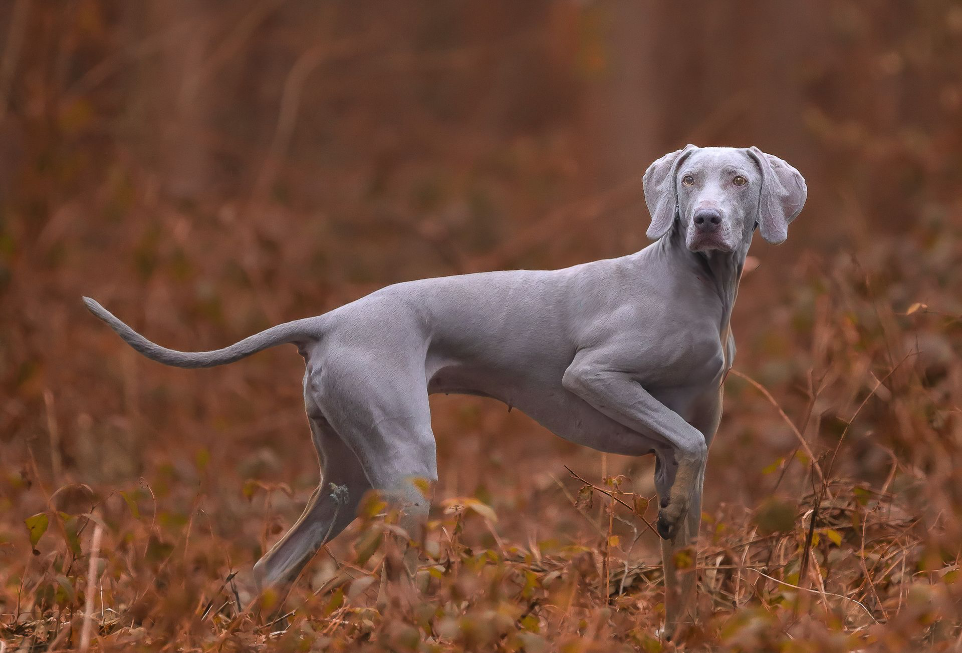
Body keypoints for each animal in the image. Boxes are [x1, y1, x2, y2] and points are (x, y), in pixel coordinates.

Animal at [84, 145, 804, 636]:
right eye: (688, 180)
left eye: (739, 180)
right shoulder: (596, 375)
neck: (696, 282)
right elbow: (688, 446)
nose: (705, 220)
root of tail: (332, 320)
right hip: (408, 469)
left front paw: (681, 625)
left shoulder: (669, 449)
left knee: (263, 570)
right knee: (391, 584)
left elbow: (684, 527)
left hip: (347, 479)